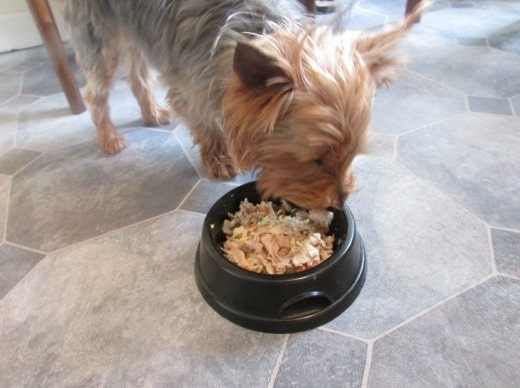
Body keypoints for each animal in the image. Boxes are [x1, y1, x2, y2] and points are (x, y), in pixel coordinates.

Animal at [64, 0, 422, 211]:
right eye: (315, 161)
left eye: (353, 155)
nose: (339, 203)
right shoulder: (192, 84)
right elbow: (204, 122)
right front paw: (219, 159)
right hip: (98, 31)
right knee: (95, 89)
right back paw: (109, 138)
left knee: (138, 72)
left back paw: (151, 113)